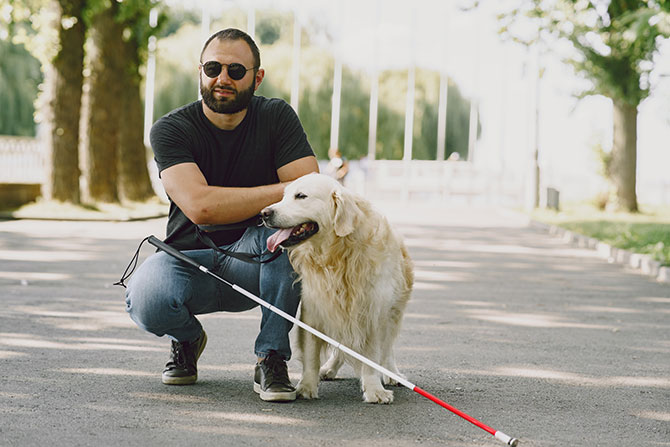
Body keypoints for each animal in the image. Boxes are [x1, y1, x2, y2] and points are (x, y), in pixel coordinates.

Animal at [264, 173, 414, 404]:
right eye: (284, 195)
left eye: (301, 196)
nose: (264, 213)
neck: (337, 255)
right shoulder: (315, 309)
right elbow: (311, 354)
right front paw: (306, 386)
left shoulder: (374, 313)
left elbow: (372, 355)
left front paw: (374, 389)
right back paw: (328, 369)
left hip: (394, 312)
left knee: (387, 349)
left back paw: (392, 373)